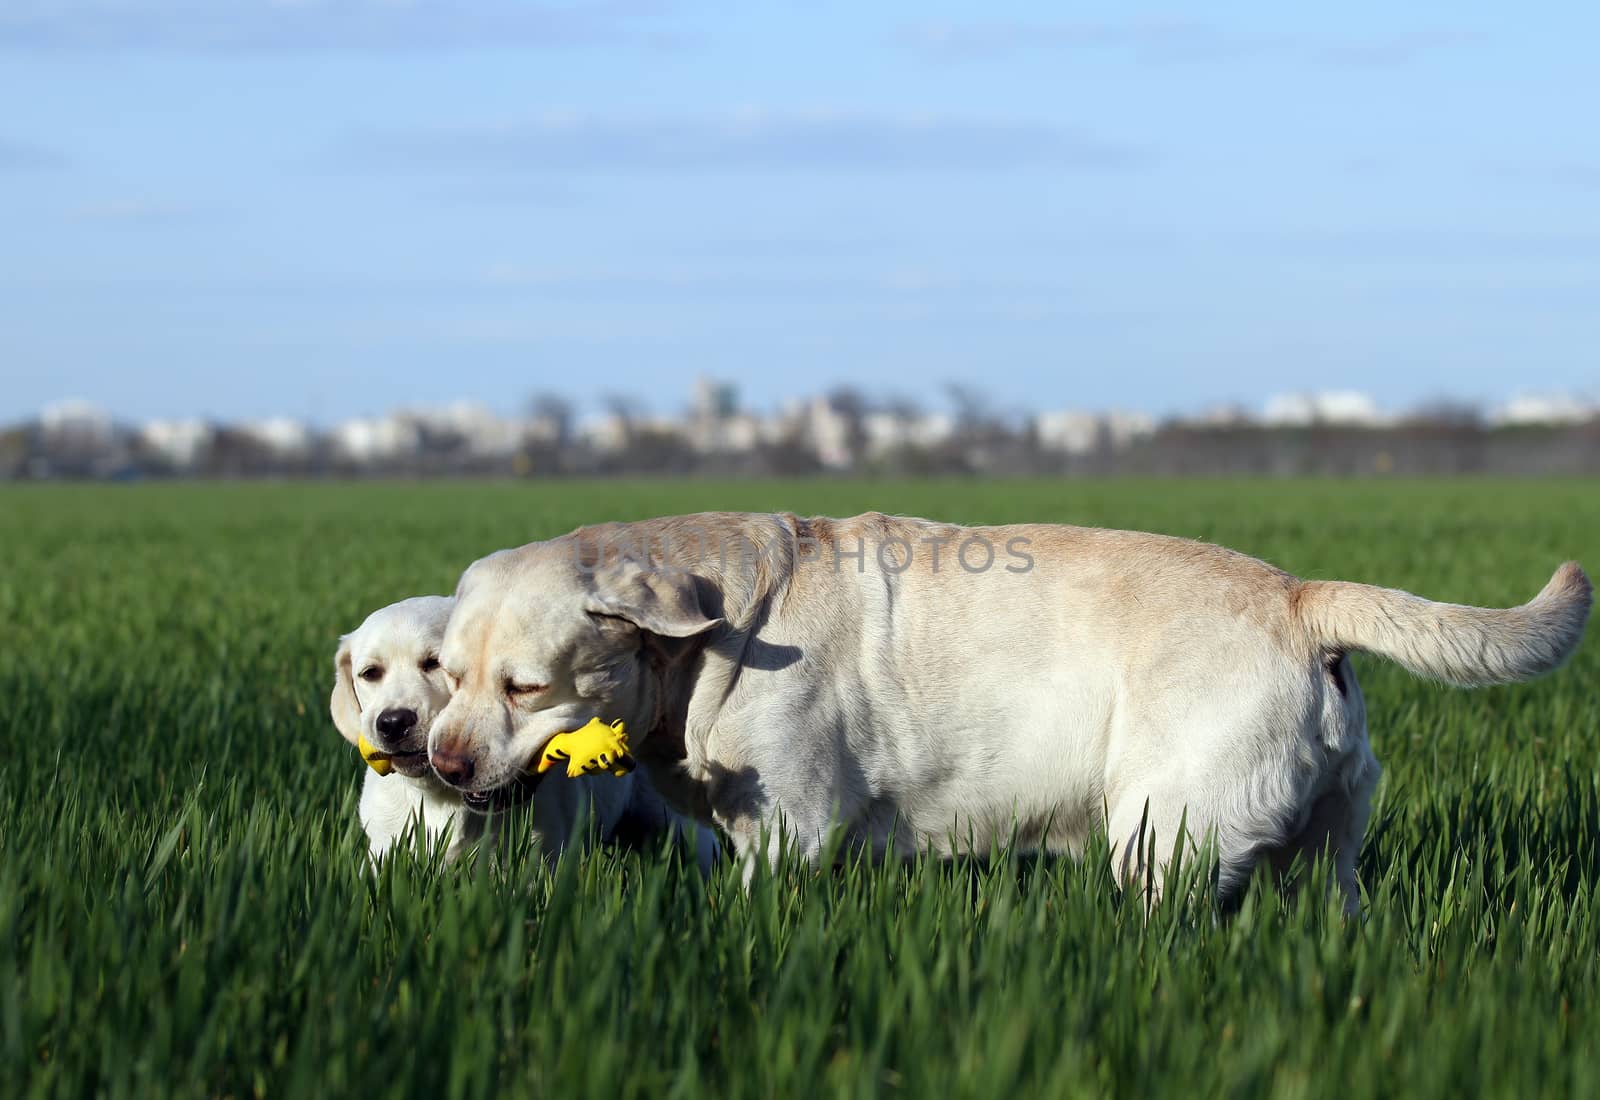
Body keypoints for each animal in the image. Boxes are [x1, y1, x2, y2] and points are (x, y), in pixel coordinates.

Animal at [425, 511, 1587, 908]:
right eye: (443, 670)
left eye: (525, 685)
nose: (439, 760)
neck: (717, 635)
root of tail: (1300, 597)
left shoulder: (792, 829)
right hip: (1328, 850)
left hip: (1163, 831)